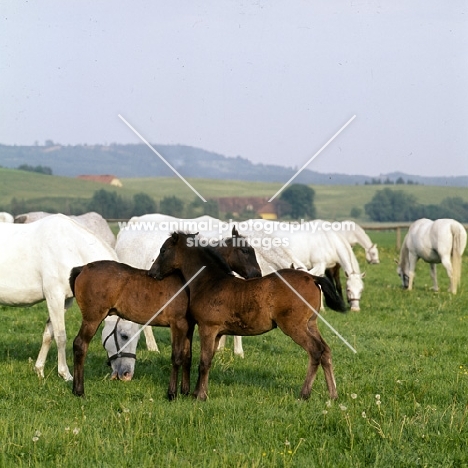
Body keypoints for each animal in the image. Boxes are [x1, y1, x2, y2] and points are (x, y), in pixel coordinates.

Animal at [0, 216, 117, 380]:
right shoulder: (54, 296)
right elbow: (61, 336)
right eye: (125, 336)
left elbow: (48, 334)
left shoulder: (65, 301)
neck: (71, 248)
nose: (124, 375)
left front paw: (39, 371)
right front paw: (65, 374)